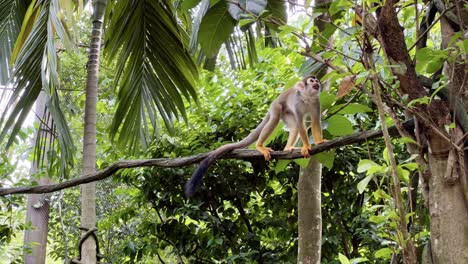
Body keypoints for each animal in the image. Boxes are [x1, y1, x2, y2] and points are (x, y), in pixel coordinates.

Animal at [185, 76, 324, 196]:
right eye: (312, 81)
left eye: (316, 80)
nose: (317, 82)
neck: (307, 97)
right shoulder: (297, 102)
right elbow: (301, 124)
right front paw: (306, 146)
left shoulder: (316, 102)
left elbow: (315, 121)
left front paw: (320, 142)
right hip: (277, 106)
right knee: (276, 118)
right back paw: (260, 146)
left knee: (294, 126)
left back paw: (288, 147)